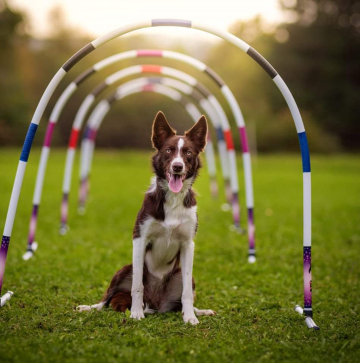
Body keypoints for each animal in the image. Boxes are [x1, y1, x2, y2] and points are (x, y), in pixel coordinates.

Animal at [76, 111, 214, 328]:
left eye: (189, 153)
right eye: (169, 150)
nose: (177, 166)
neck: (172, 198)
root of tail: (156, 303)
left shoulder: (187, 244)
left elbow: (186, 294)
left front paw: (191, 316)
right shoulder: (140, 238)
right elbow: (137, 285)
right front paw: (135, 313)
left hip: (184, 277)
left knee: (183, 296)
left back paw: (199, 311)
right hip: (125, 269)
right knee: (106, 298)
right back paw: (91, 307)